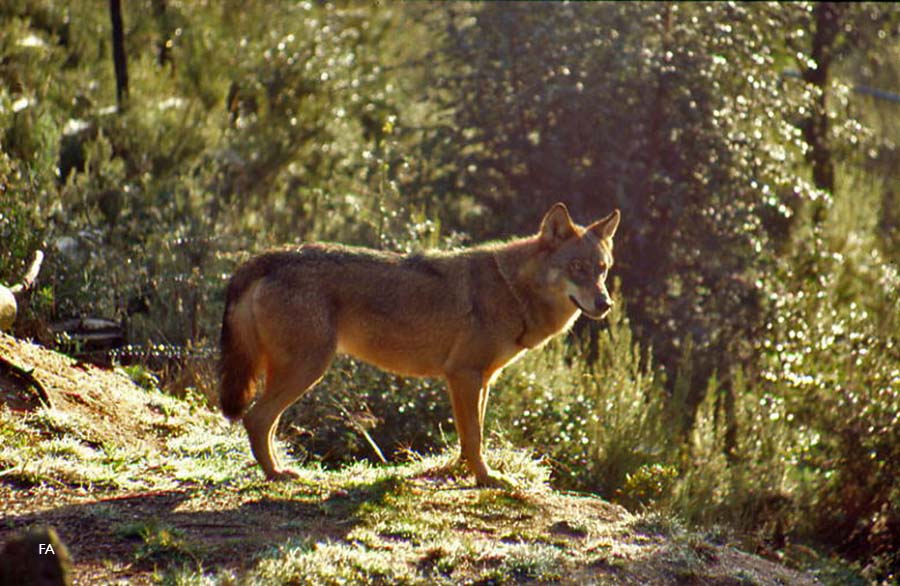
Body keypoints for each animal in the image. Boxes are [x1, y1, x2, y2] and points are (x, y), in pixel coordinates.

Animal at [219, 203, 620, 487]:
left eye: (602, 269)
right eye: (577, 267)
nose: (605, 304)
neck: (512, 290)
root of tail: (265, 258)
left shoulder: (481, 379)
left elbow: (468, 436)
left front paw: (462, 472)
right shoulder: (463, 375)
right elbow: (475, 436)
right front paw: (486, 479)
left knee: (263, 422)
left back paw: (276, 470)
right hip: (308, 369)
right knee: (256, 418)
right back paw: (277, 474)